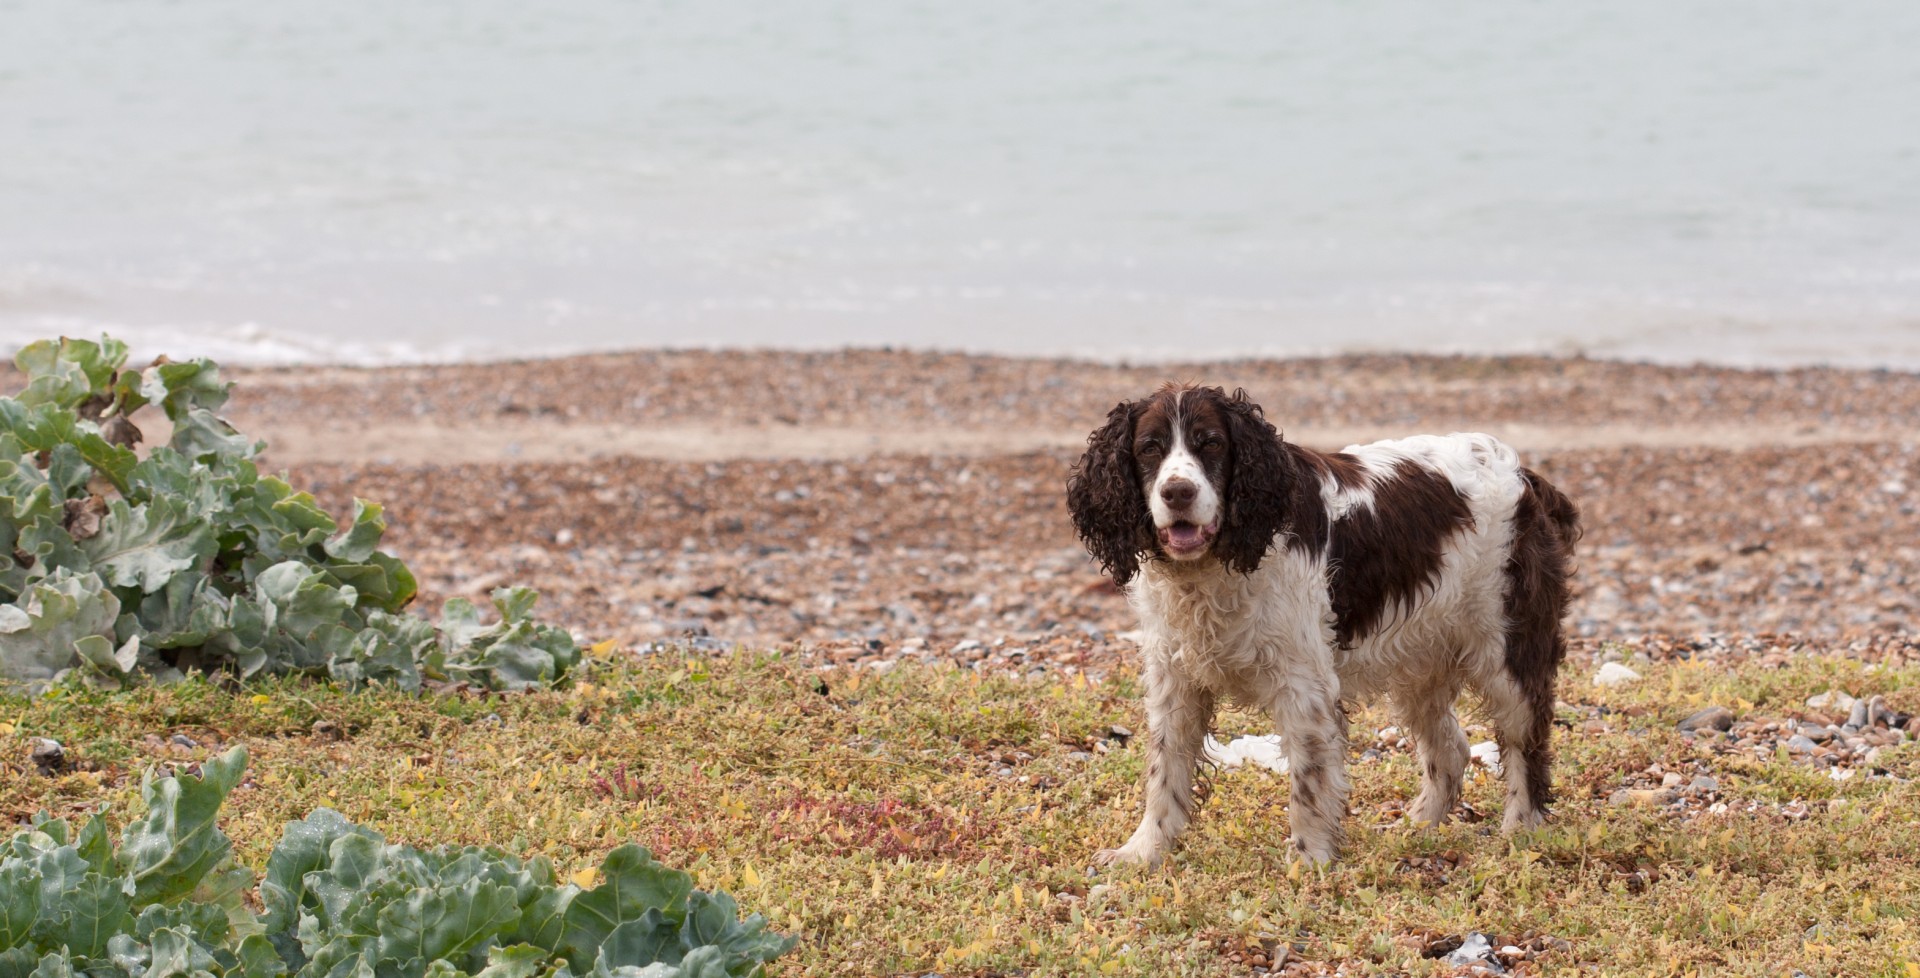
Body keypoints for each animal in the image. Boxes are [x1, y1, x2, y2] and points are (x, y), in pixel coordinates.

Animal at [1067, 380, 1574, 860]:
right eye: (1148, 448)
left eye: (1211, 443)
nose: (1177, 493)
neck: (1216, 567)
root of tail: (1523, 474)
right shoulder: (1175, 679)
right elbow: (1164, 771)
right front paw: (1143, 852)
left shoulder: (1302, 682)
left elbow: (1308, 782)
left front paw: (1309, 861)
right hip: (1421, 662)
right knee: (1451, 748)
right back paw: (1416, 827)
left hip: (1507, 649)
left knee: (1526, 740)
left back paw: (1520, 832)